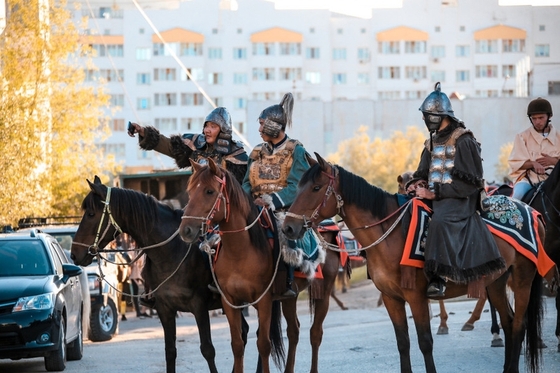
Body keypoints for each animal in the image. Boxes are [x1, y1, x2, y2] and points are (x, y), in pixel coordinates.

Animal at [68, 176, 247, 372]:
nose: (74, 254)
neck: (172, 252)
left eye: (91, 214)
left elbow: (208, 350)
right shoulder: (165, 309)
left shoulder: (199, 307)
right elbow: (170, 351)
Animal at [177, 158, 348, 372]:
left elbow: (264, 345)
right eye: (190, 191)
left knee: (315, 333)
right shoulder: (230, 301)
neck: (240, 252)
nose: (186, 230)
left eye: (209, 191)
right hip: (289, 296)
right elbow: (237, 345)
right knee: (294, 331)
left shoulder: (264, 300)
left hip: (324, 289)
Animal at [282, 153, 548, 372]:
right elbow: (403, 343)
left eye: (316, 187)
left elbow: (425, 342)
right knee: (508, 322)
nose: (288, 227)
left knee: (519, 325)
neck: (390, 234)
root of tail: (532, 212)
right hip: (496, 281)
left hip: (523, 278)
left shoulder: (416, 296)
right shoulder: (391, 298)